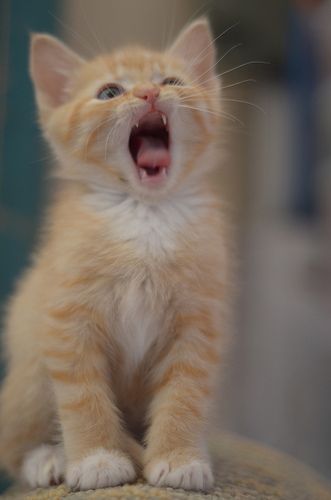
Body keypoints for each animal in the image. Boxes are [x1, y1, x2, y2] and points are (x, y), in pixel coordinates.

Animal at [0, 19, 228, 492]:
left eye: (172, 81)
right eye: (109, 92)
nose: (148, 93)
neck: (145, 213)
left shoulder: (199, 322)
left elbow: (185, 393)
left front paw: (179, 458)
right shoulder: (66, 317)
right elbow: (82, 396)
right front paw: (97, 459)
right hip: (29, 373)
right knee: (11, 443)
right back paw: (47, 458)